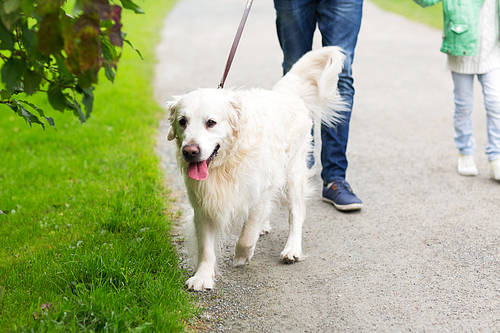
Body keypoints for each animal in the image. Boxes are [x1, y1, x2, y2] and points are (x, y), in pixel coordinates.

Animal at [166, 46, 346, 290]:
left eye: (211, 122)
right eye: (182, 121)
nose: (190, 151)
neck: (227, 163)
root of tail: (285, 93)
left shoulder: (261, 192)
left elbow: (247, 234)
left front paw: (242, 256)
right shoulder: (203, 201)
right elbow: (206, 246)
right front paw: (203, 276)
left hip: (293, 174)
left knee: (296, 213)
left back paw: (292, 249)